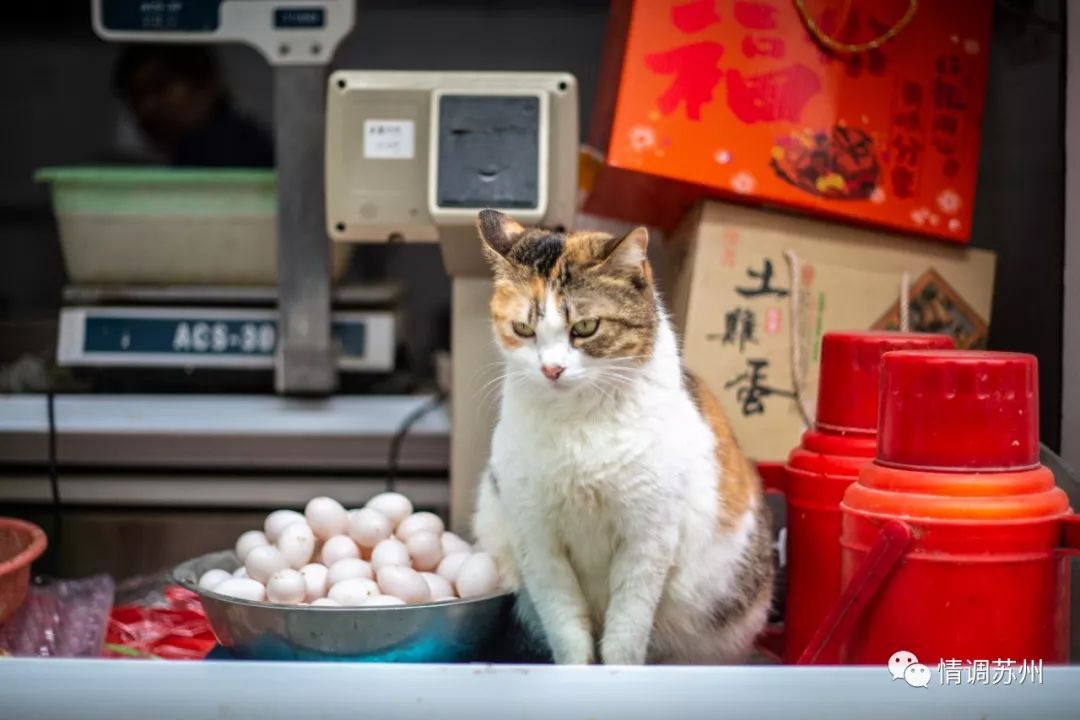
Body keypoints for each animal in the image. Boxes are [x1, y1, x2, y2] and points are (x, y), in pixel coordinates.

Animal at [475, 208, 777, 664]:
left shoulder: (647, 538)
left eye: (585, 326)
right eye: (523, 329)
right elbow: (567, 628)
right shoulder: (537, 539)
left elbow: (626, 632)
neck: (579, 422)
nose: (551, 370)